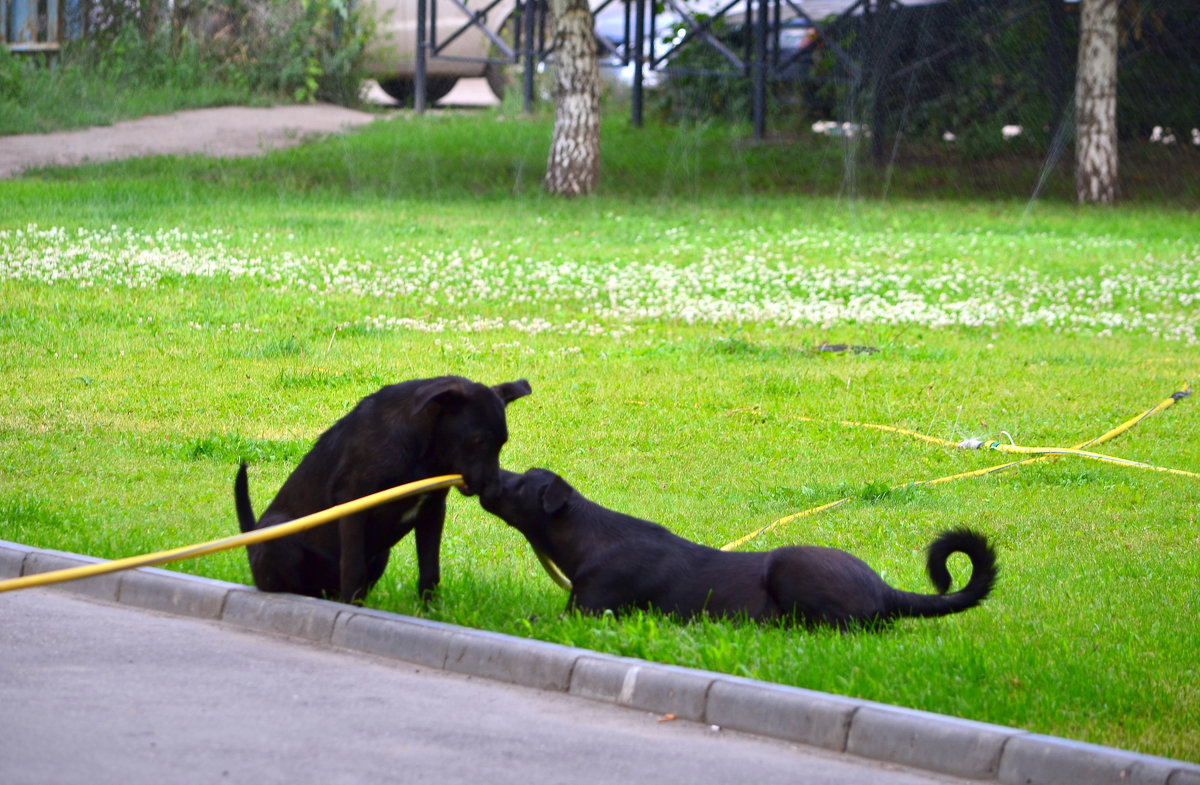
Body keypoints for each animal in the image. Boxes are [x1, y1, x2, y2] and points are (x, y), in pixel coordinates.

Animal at [234, 379, 530, 604]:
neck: (422, 454)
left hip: (380, 554)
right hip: (279, 538)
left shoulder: (433, 510)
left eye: (502, 443)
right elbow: (353, 569)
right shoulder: (354, 505)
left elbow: (430, 572)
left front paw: (431, 612)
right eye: (478, 440)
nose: (494, 494)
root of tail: (251, 542)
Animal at [477, 470, 993, 628]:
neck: (588, 539)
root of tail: (886, 589)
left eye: (519, 484)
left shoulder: (587, 612)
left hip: (789, 564)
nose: (486, 480)